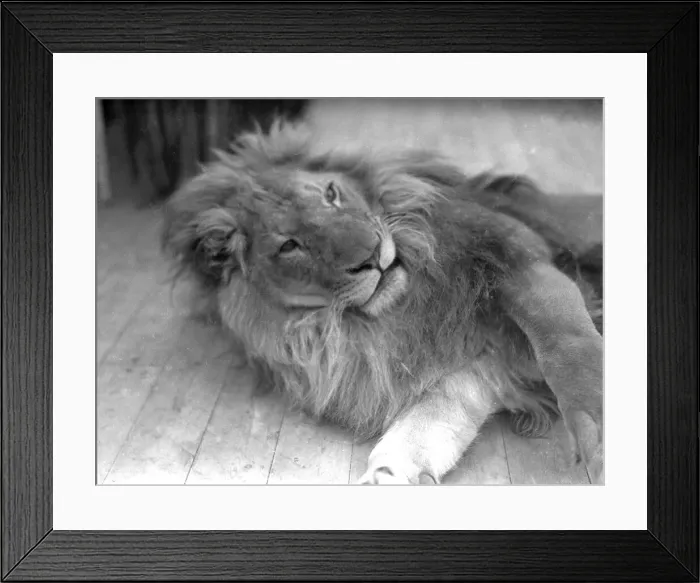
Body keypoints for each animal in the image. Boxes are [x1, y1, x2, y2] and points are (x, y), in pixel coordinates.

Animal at [161, 120, 604, 485]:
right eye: (289, 245)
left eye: (331, 194)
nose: (372, 255)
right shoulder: (466, 364)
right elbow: (432, 418)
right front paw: (388, 476)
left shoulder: (520, 258)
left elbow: (565, 341)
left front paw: (596, 427)